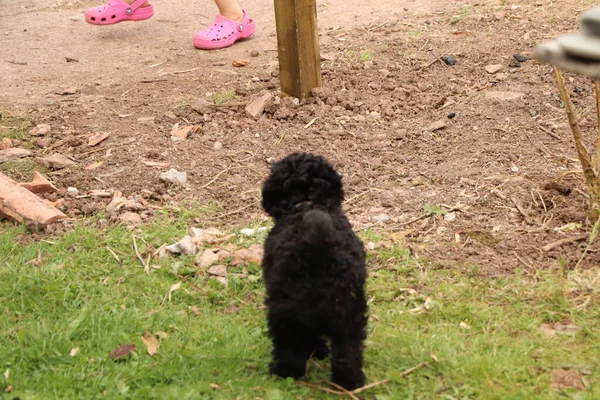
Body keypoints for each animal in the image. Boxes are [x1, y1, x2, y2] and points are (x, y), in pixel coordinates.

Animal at [262, 152, 368, 390]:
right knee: (347, 354)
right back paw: (350, 383)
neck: (307, 203)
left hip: (284, 315)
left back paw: (282, 373)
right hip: (349, 317)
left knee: (289, 350)